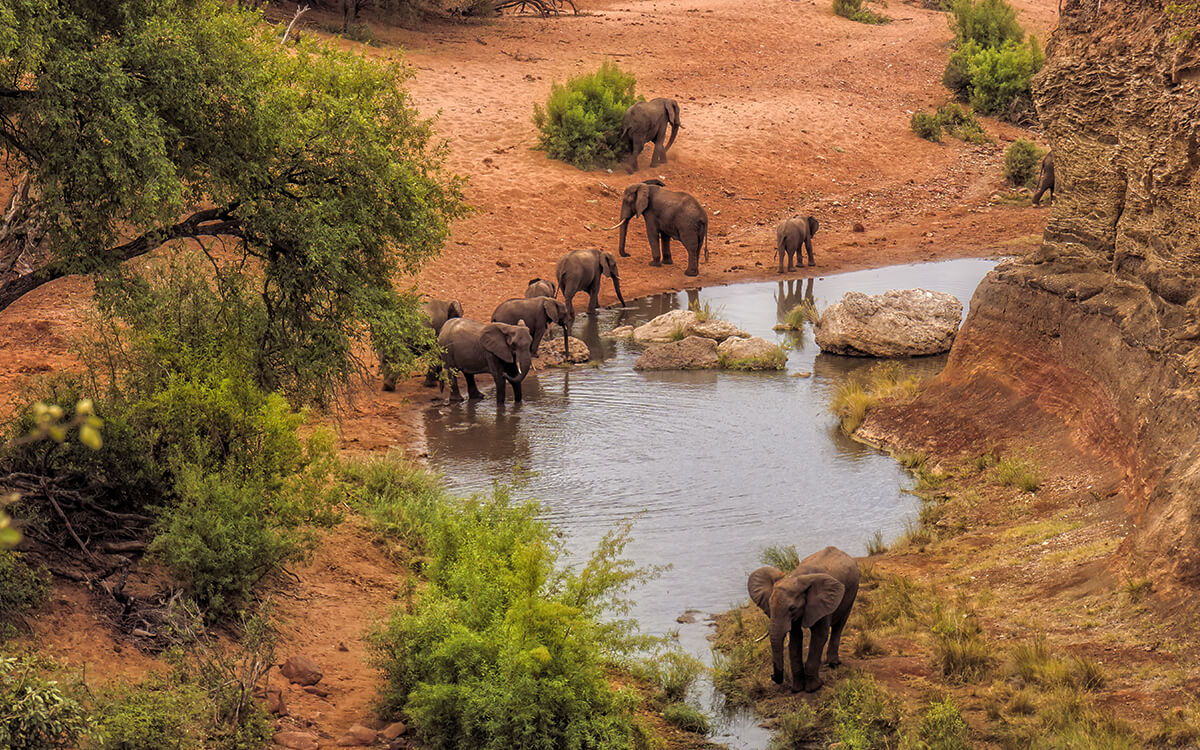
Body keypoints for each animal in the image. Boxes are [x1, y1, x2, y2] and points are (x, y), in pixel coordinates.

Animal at [744, 544, 859, 691]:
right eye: (770, 606)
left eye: (792, 608)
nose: (772, 676)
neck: (796, 577)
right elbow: (795, 637)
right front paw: (797, 689)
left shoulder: (823, 602)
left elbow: (819, 635)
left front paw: (814, 688)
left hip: (853, 591)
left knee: (839, 625)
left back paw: (833, 664)